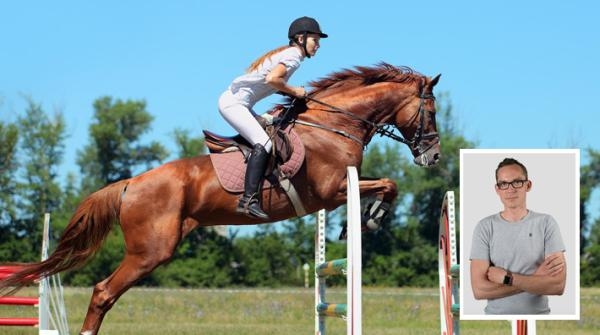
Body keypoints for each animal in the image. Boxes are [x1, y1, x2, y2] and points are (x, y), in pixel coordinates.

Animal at [0, 62, 440, 334]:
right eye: (432, 112)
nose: (433, 156)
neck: (333, 124)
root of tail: (129, 184)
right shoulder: (331, 192)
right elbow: (388, 184)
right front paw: (369, 219)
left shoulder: (335, 191)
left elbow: (387, 183)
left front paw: (364, 221)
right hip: (151, 251)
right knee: (104, 291)